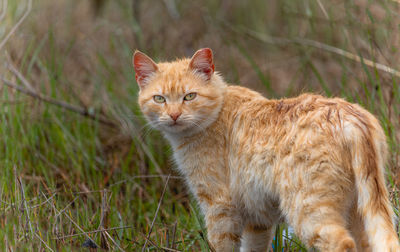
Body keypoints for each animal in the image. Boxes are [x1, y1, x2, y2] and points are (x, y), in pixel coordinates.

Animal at [134, 48, 400, 251]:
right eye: (159, 99)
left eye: (190, 96)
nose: (174, 115)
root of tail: (348, 115)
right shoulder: (258, 219)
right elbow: (253, 248)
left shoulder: (220, 209)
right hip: (360, 211)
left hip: (307, 211)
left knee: (342, 243)